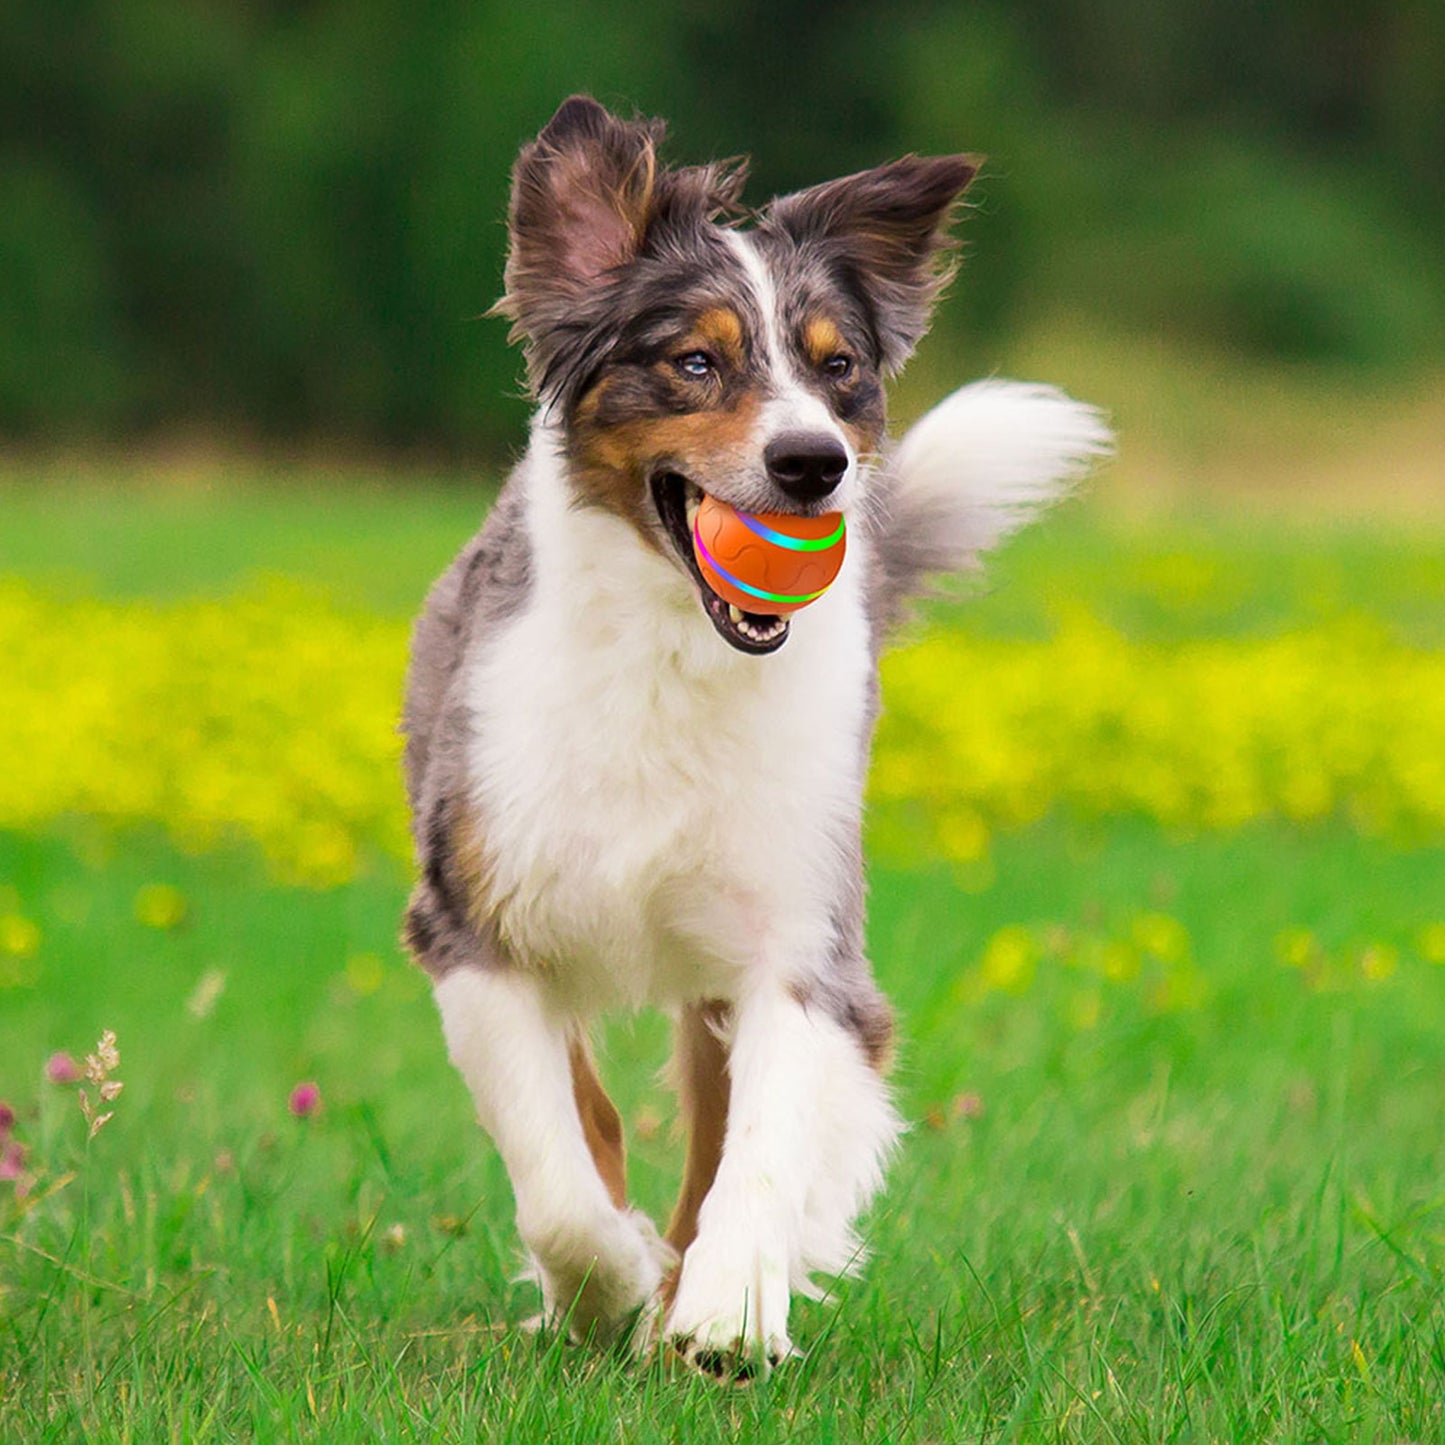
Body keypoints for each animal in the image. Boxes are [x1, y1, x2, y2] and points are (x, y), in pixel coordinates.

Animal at [401, 96, 1109, 1369]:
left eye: (837, 371)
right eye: (694, 361)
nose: (811, 462)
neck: (677, 656)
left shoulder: (799, 940)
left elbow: (760, 1148)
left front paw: (726, 1307)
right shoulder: (474, 921)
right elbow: (559, 1173)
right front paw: (610, 1286)